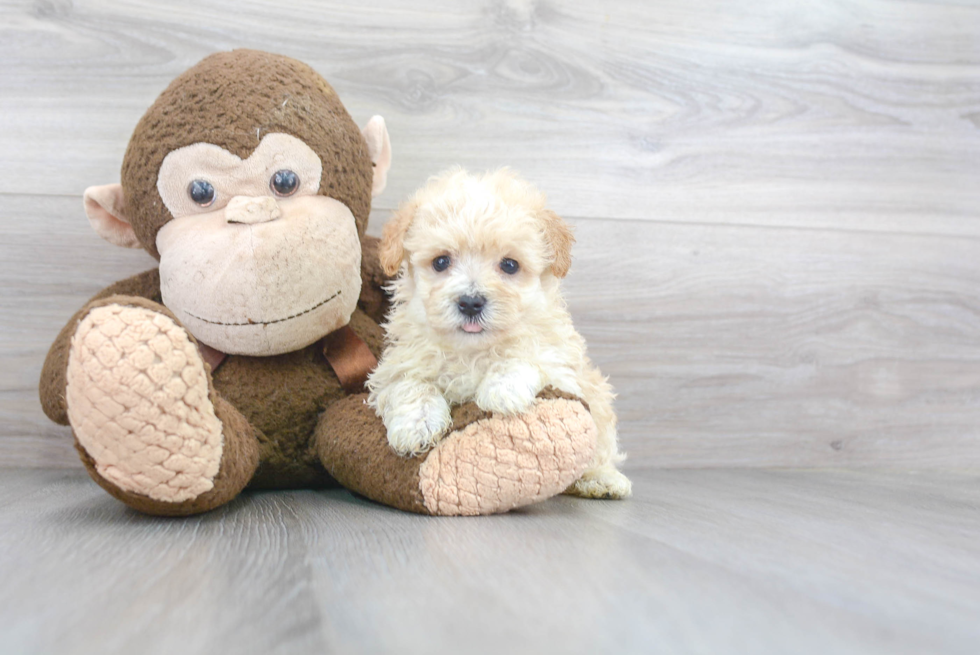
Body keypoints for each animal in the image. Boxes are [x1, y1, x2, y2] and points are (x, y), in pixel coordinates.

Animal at [370, 168, 636, 498]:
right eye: (441, 261)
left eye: (509, 265)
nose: (471, 302)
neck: (473, 350)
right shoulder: (397, 365)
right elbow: (409, 385)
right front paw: (417, 424)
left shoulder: (562, 365)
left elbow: (528, 358)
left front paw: (502, 390)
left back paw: (601, 479)